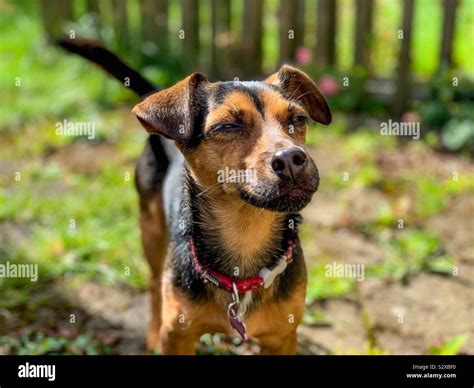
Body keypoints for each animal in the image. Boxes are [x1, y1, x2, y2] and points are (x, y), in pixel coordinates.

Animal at [59, 38, 332, 354]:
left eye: (297, 119)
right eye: (228, 126)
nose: (291, 159)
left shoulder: (282, 338)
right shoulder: (178, 337)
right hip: (151, 228)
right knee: (154, 282)